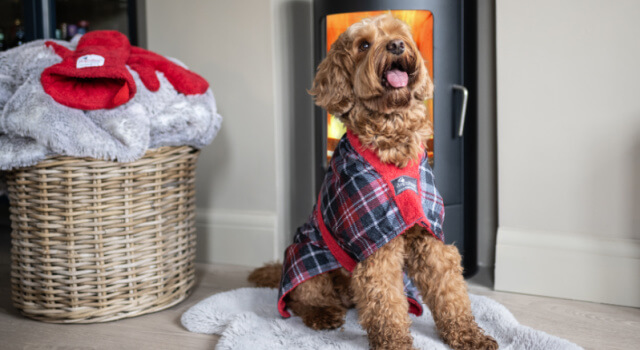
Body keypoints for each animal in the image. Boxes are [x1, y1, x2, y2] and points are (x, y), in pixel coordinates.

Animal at [248, 14, 498, 350]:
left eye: (401, 33)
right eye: (363, 45)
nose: (396, 46)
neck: (393, 140)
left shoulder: (429, 236)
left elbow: (450, 292)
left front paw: (468, 334)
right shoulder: (377, 245)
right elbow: (386, 305)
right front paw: (395, 343)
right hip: (306, 258)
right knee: (300, 299)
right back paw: (322, 313)